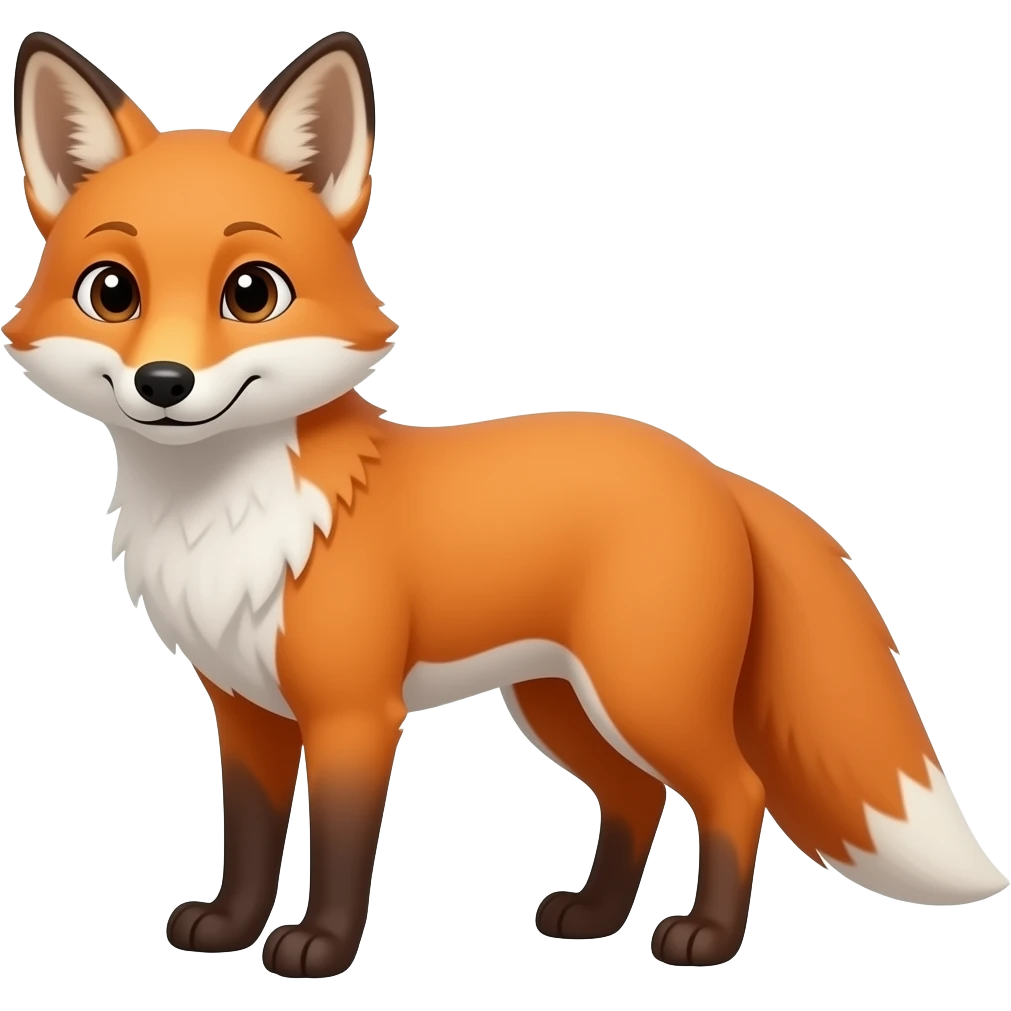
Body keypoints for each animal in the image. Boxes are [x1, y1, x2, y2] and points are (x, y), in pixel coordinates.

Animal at [6, 29, 1007, 979]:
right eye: (112, 292)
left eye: (251, 291)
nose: (163, 383)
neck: (226, 515)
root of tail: (710, 469)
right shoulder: (246, 710)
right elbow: (249, 840)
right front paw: (227, 928)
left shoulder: (353, 712)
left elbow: (339, 847)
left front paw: (319, 948)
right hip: (561, 702)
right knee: (636, 796)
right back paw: (593, 917)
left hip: (644, 694)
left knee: (735, 790)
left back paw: (707, 938)